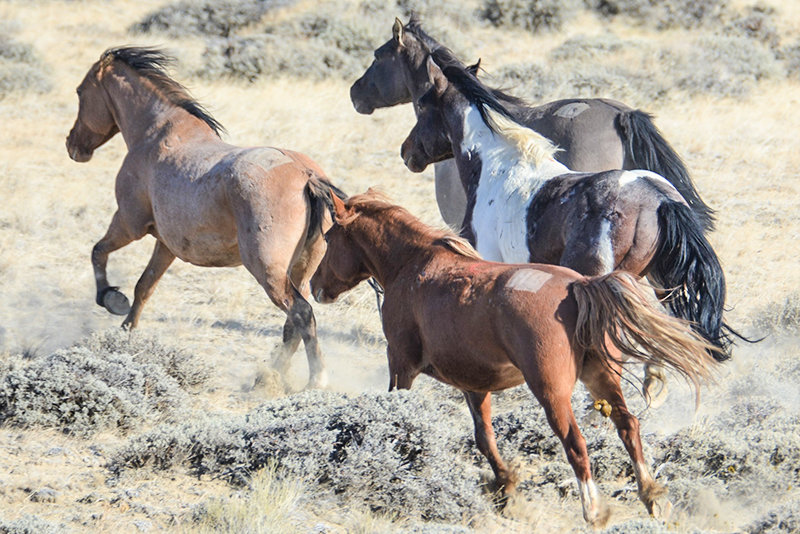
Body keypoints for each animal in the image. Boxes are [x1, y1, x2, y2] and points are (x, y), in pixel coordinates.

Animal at [65, 47, 344, 389]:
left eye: (80, 92)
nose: (72, 145)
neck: (156, 134)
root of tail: (307, 176)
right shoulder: (166, 245)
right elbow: (144, 286)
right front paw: (126, 333)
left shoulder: (129, 223)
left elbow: (98, 252)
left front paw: (111, 299)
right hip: (300, 270)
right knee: (294, 321)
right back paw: (266, 376)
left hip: (268, 270)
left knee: (301, 313)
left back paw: (314, 379)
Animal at [310, 190, 720, 525]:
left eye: (328, 238)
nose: (315, 286)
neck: (412, 265)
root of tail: (578, 286)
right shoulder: (473, 384)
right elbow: (484, 437)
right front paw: (505, 486)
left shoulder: (401, 364)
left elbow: (400, 412)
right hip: (601, 378)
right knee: (628, 425)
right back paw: (653, 498)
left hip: (551, 391)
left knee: (576, 443)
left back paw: (593, 510)